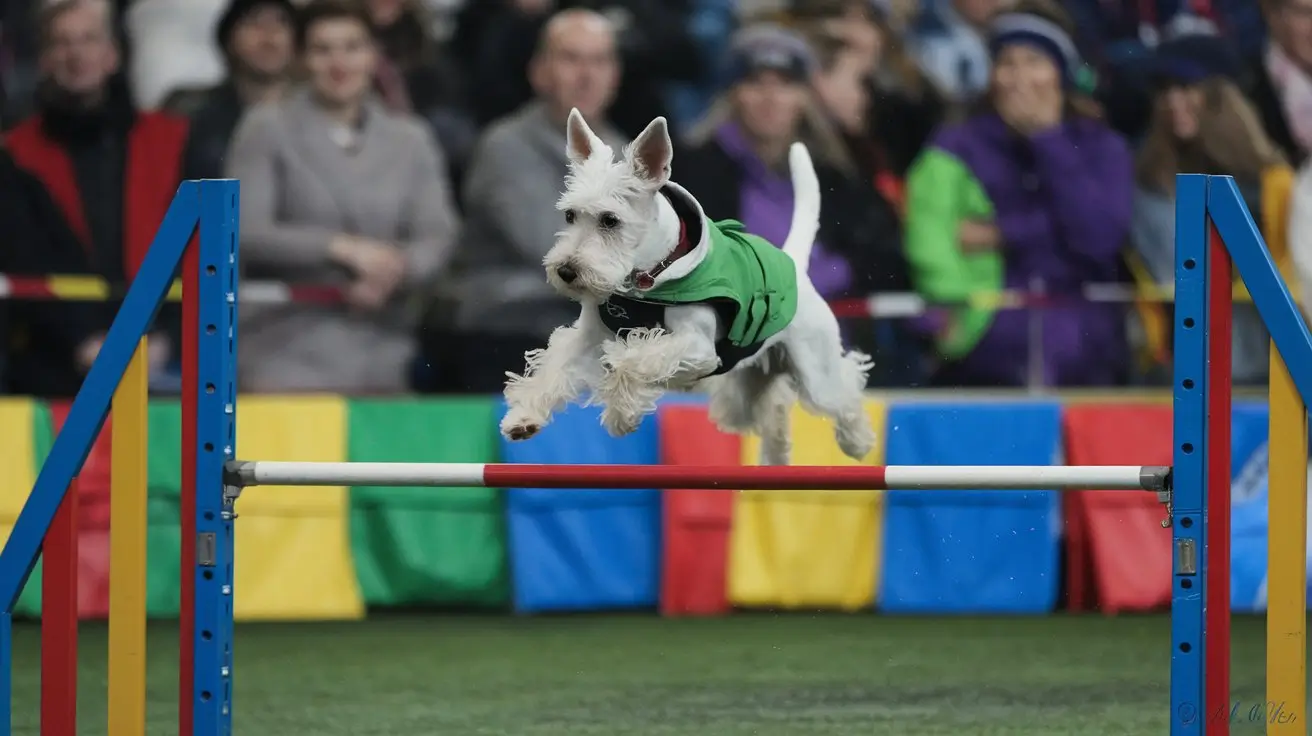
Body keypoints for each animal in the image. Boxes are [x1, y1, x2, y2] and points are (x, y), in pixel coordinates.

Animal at [495, 107, 876, 464]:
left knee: (844, 390)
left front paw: (622, 413)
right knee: (775, 407)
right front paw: (524, 417)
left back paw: (858, 441)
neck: (645, 282)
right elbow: (555, 367)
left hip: (817, 373)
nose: (566, 271)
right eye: (570, 215)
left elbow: (630, 359)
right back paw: (777, 454)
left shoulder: (697, 348)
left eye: (610, 220)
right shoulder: (587, 337)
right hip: (748, 386)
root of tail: (793, 263)